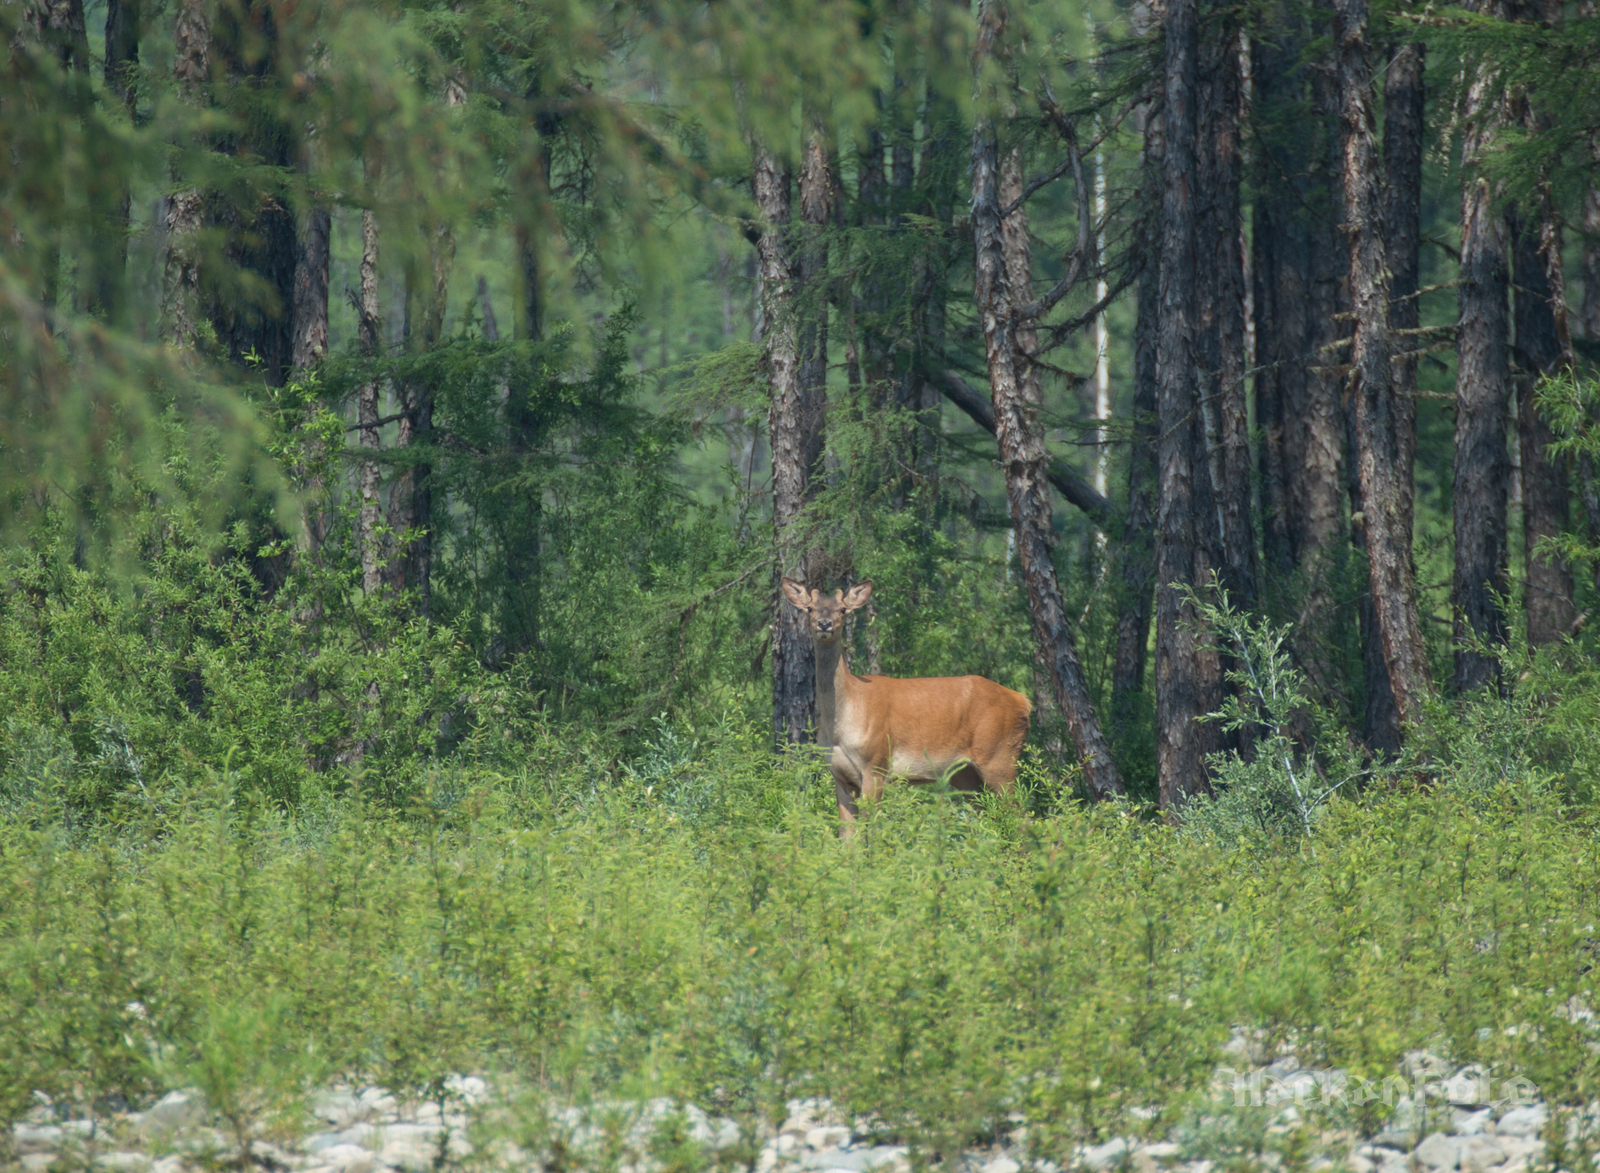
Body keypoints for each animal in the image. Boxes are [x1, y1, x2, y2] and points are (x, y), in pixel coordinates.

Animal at [780, 576, 1030, 825]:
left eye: (842, 609)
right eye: (810, 608)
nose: (824, 624)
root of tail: (1023, 700)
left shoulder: (876, 764)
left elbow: (870, 827)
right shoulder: (839, 775)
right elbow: (846, 832)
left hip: (1000, 754)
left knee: (1021, 816)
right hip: (964, 774)